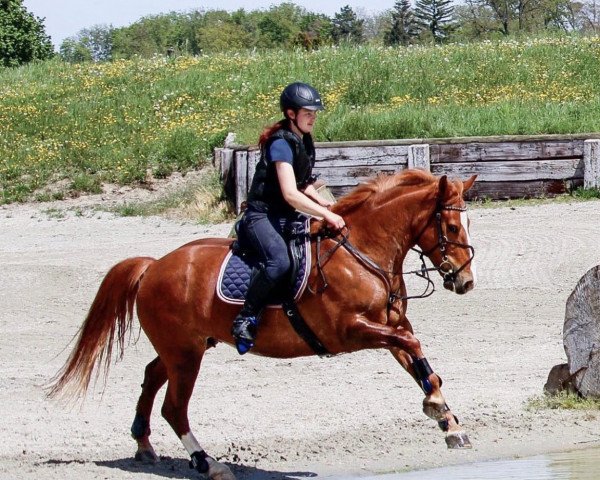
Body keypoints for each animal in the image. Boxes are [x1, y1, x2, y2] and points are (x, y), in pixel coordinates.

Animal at [47, 169, 478, 480]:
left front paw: (447, 420)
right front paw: (439, 411)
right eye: (452, 228)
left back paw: (143, 443)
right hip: (185, 355)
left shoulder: (389, 327)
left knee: (152, 374)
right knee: (174, 407)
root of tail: (153, 266)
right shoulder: (350, 331)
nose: (465, 281)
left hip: (187, 345)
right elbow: (411, 343)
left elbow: (419, 361)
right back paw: (207, 463)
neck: (363, 251)